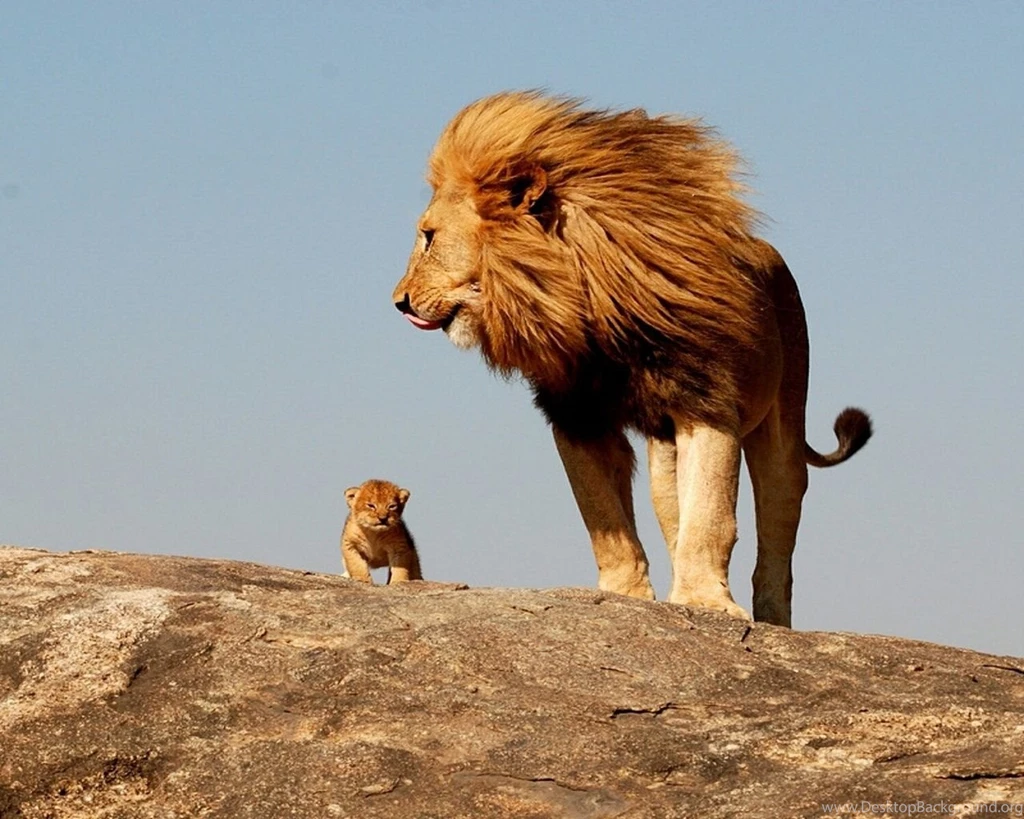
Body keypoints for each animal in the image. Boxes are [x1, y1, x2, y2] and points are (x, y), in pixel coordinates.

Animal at [391, 91, 871, 626]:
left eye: (429, 237)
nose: (399, 302)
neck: (588, 304)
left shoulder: (707, 404)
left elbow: (712, 515)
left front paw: (706, 602)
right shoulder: (577, 416)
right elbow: (605, 519)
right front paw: (628, 596)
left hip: (783, 426)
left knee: (778, 527)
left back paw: (770, 619)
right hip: (664, 457)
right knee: (673, 513)